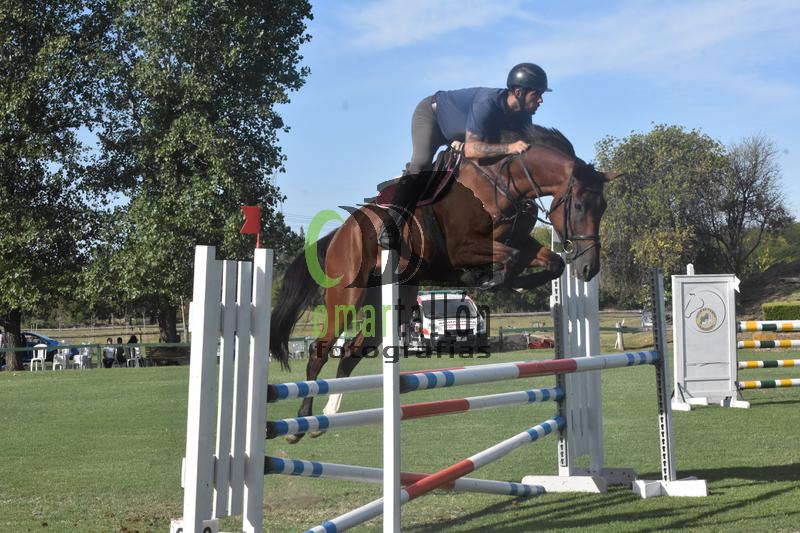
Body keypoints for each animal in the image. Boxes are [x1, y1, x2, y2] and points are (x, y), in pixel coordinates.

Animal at [270, 124, 618, 443]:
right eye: (578, 206)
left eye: (602, 207)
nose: (588, 267)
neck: (502, 183)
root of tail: (341, 232)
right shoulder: (465, 247)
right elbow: (510, 257)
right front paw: (488, 279)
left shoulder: (520, 241)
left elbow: (550, 261)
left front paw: (518, 283)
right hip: (347, 296)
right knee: (320, 349)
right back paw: (301, 422)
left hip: (391, 302)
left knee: (352, 352)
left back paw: (330, 412)